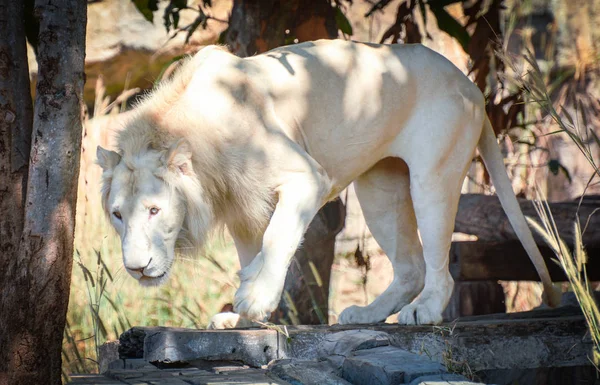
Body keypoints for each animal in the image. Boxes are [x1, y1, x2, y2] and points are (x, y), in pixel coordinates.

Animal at [97, 39, 556, 328]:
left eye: (154, 209)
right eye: (117, 215)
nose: (136, 268)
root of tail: (472, 85)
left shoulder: (306, 176)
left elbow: (278, 238)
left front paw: (255, 300)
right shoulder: (242, 207)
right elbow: (251, 255)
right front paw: (241, 317)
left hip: (433, 176)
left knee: (437, 267)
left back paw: (424, 312)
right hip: (380, 191)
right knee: (410, 266)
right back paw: (367, 314)